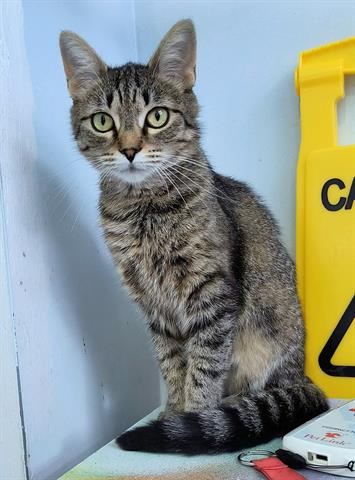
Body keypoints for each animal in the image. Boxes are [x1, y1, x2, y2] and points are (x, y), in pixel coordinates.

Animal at [59, 18, 328, 454]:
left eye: (157, 117)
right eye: (102, 121)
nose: (130, 149)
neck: (144, 210)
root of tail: (302, 375)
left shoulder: (213, 297)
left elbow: (204, 367)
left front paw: (195, 417)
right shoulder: (153, 305)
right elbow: (172, 364)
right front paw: (174, 412)